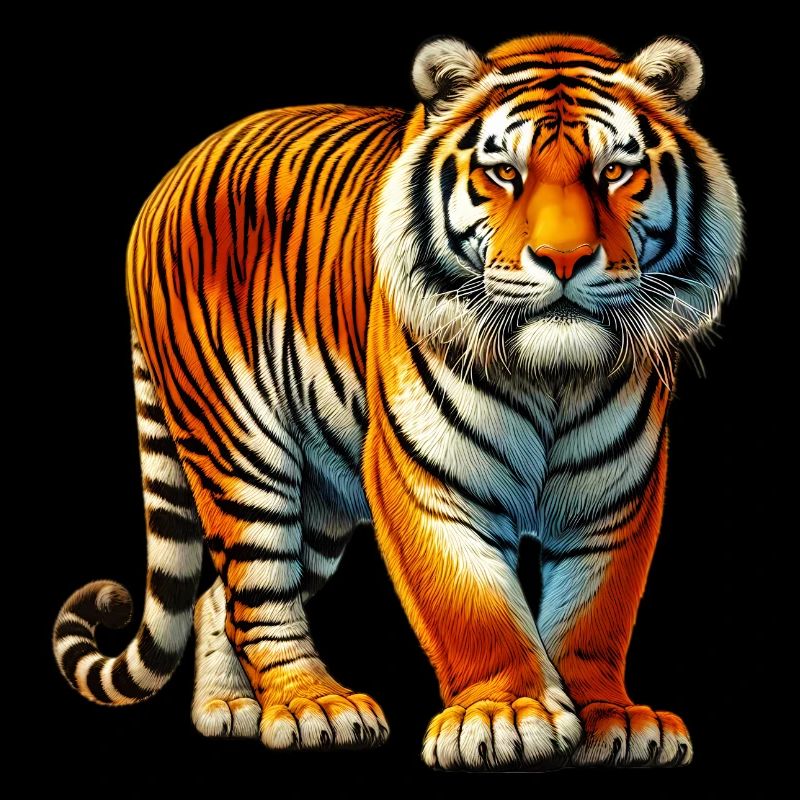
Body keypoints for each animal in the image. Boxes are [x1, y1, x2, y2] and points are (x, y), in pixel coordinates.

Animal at [52, 33, 742, 770]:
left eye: (614, 171)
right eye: (504, 172)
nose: (564, 259)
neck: (553, 375)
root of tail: (173, 174)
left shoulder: (616, 498)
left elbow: (596, 614)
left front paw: (612, 720)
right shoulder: (429, 480)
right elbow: (471, 607)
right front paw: (505, 716)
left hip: (321, 500)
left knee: (220, 597)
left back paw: (228, 709)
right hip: (238, 447)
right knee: (258, 592)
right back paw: (313, 705)